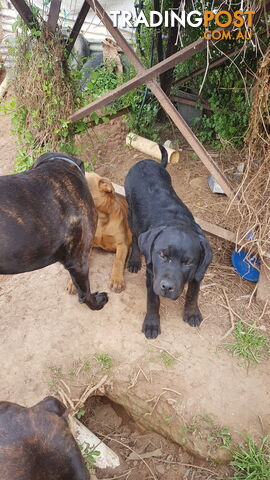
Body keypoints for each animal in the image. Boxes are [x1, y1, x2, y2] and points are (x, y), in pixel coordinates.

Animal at [124, 146, 211, 338]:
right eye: (162, 255)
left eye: (188, 262)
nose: (167, 287)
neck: (177, 221)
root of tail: (146, 161)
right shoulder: (152, 275)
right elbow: (153, 301)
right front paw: (151, 324)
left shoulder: (198, 271)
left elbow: (193, 292)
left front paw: (192, 313)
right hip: (131, 213)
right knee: (134, 237)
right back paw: (134, 260)